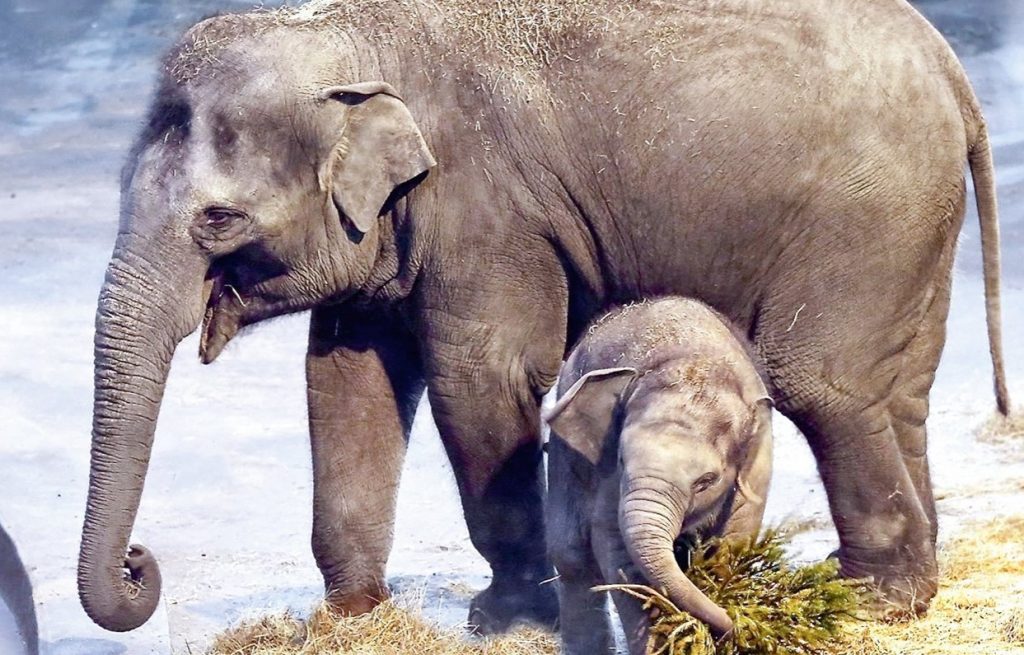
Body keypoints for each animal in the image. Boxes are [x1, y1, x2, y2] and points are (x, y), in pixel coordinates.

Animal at [544, 298, 770, 655]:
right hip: (564, 446)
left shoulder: (756, 472)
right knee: (572, 556)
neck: (694, 359)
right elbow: (617, 552)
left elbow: (732, 542)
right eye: (621, 460)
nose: (737, 625)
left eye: (707, 481)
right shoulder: (610, 473)